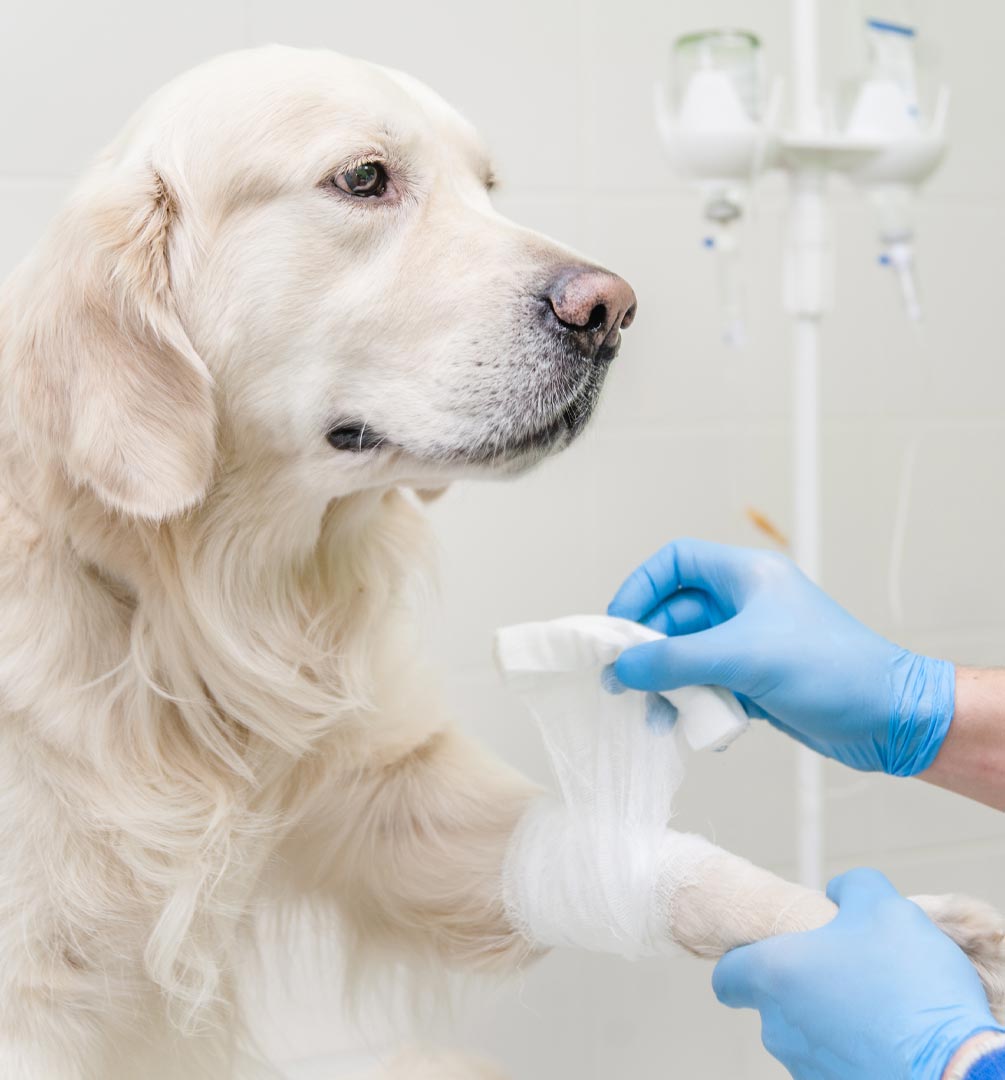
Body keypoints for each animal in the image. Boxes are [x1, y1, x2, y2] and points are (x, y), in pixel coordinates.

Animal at [0, 44, 1001, 1080]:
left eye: (486, 187)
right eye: (364, 178)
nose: (610, 310)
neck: (185, 603)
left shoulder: (389, 799)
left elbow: (635, 866)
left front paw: (899, 938)